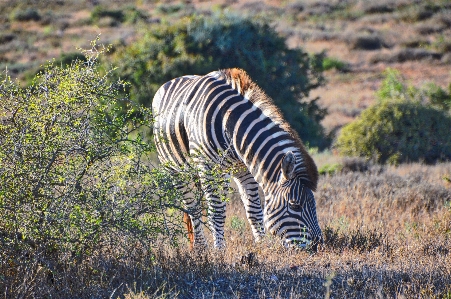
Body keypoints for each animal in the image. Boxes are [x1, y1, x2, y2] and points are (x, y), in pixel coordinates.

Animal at [154, 68, 324, 251]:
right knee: (193, 207)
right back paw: (200, 248)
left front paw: (261, 245)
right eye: (294, 205)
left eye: (314, 204)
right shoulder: (209, 168)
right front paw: (219, 251)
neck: (229, 125)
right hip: (175, 169)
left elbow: (254, 211)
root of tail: (170, 81)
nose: (319, 247)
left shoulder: (244, 169)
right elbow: (217, 212)